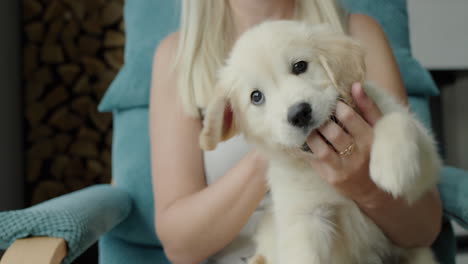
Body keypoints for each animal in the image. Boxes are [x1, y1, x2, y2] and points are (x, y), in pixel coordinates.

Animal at [199, 20, 440, 264]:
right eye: (256, 97)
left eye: (300, 66)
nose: (299, 114)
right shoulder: (305, 220)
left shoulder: (423, 176)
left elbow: (397, 119)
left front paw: (392, 167)